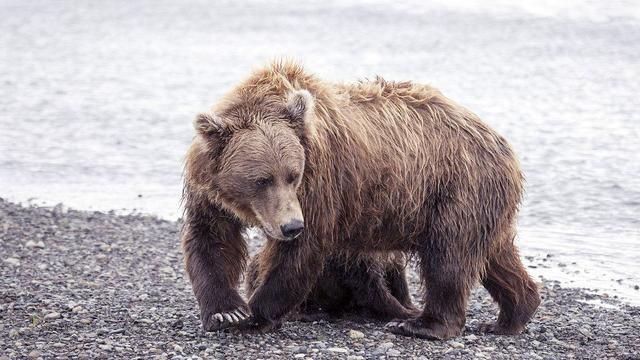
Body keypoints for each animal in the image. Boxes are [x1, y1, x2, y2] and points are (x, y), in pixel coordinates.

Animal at [180, 60, 540, 338]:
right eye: (261, 179)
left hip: (456, 187)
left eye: (292, 174)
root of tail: (503, 143)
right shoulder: (209, 188)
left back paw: (422, 325)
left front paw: (255, 313)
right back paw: (512, 314)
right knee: (495, 255)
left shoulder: (320, 181)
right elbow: (212, 238)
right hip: (484, 199)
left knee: (447, 257)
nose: (291, 226)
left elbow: (302, 251)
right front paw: (227, 311)